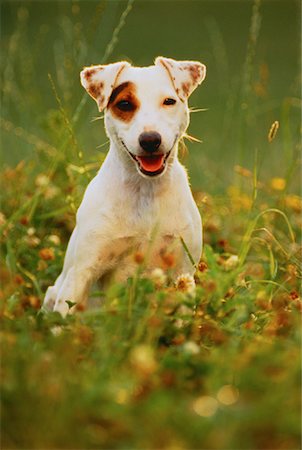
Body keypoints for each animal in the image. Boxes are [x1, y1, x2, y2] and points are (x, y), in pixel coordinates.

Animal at [42, 57, 206, 316]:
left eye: (169, 101)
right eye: (125, 104)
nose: (150, 140)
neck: (146, 189)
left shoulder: (183, 271)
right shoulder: (81, 273)